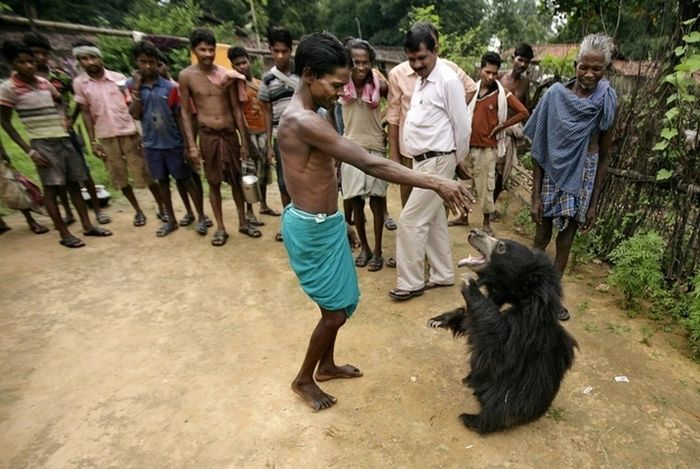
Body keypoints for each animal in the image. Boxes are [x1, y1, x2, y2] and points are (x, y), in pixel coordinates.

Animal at [430, 229, 576, 434]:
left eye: (501, 247)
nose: (474, 232)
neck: (511, 293)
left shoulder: (527, 324)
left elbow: (501, 337)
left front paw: (468, 281)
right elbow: (472, 320)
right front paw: (436, 320)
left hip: (519, 389)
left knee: (502, 408)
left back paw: (472, 419)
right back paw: (470, 380)